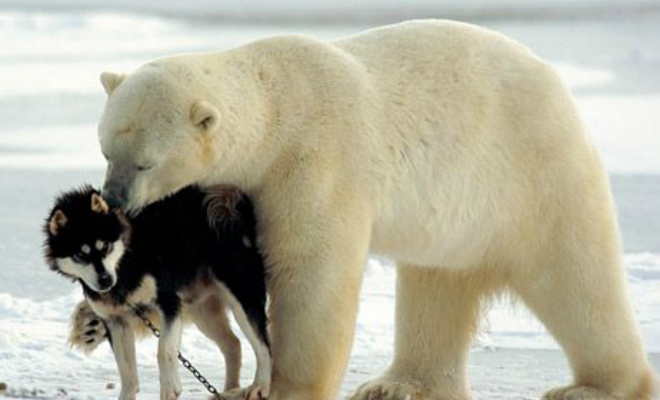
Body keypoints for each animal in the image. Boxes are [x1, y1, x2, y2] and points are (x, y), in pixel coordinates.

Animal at [44, 185, 270, 400]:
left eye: (105, 246)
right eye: (80, 254)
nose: (105, 280)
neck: (125, 268)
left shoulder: (168, 305)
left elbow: (164, 351)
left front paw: (170, 386)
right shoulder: (116, 322)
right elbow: (126, 372)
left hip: (241, 299)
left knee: (264, 347)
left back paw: (260, 385)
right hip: (203, 312)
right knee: (234, 345)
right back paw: (228, 390)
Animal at [95, 21, 656, 400]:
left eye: (145, 162)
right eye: (106, 150)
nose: (115, 200)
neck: (276, 100)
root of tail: (557, 85)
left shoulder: (314, 158)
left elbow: (311, 272)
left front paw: (286, 385)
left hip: (532, 174)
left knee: (577, 280)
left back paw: (599, 386)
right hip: (454, 221)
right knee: (435, 289)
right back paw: (400, 383)